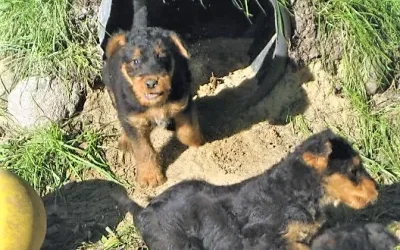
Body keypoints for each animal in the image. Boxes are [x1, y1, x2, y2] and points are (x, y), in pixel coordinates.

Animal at [101, 0, 205, 188]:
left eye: (162, 56)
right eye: (135, 61)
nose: (151, 83)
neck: (154, 103)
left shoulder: (183, 102)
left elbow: (187, 131)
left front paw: (197, 143)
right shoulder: (134, 120)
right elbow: (143, 150)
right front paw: (150, 177)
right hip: (113, 95)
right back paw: (125, 140)